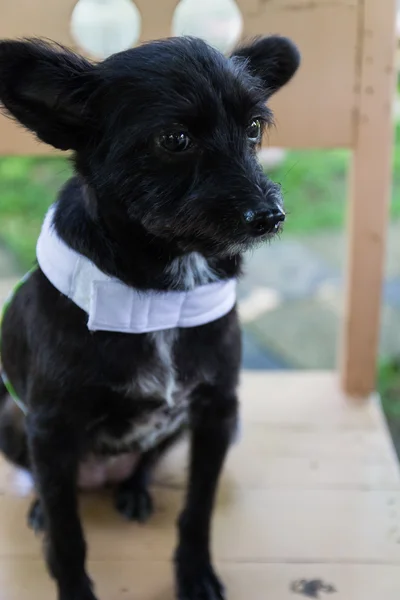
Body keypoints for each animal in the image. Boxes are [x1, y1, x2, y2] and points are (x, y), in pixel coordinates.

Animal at [0, 36, 300, 600]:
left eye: (253, 127)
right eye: (174, 138)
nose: (270, 216)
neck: (162, 295)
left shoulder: (216, 413)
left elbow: (198, 510)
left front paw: (195, 573)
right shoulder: (50, 428)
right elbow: (69, 536)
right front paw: (73, 584)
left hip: (177, 428)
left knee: (143, 461)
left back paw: (135, 489)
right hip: (13, 422)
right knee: (52, 491)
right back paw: (42, 510)